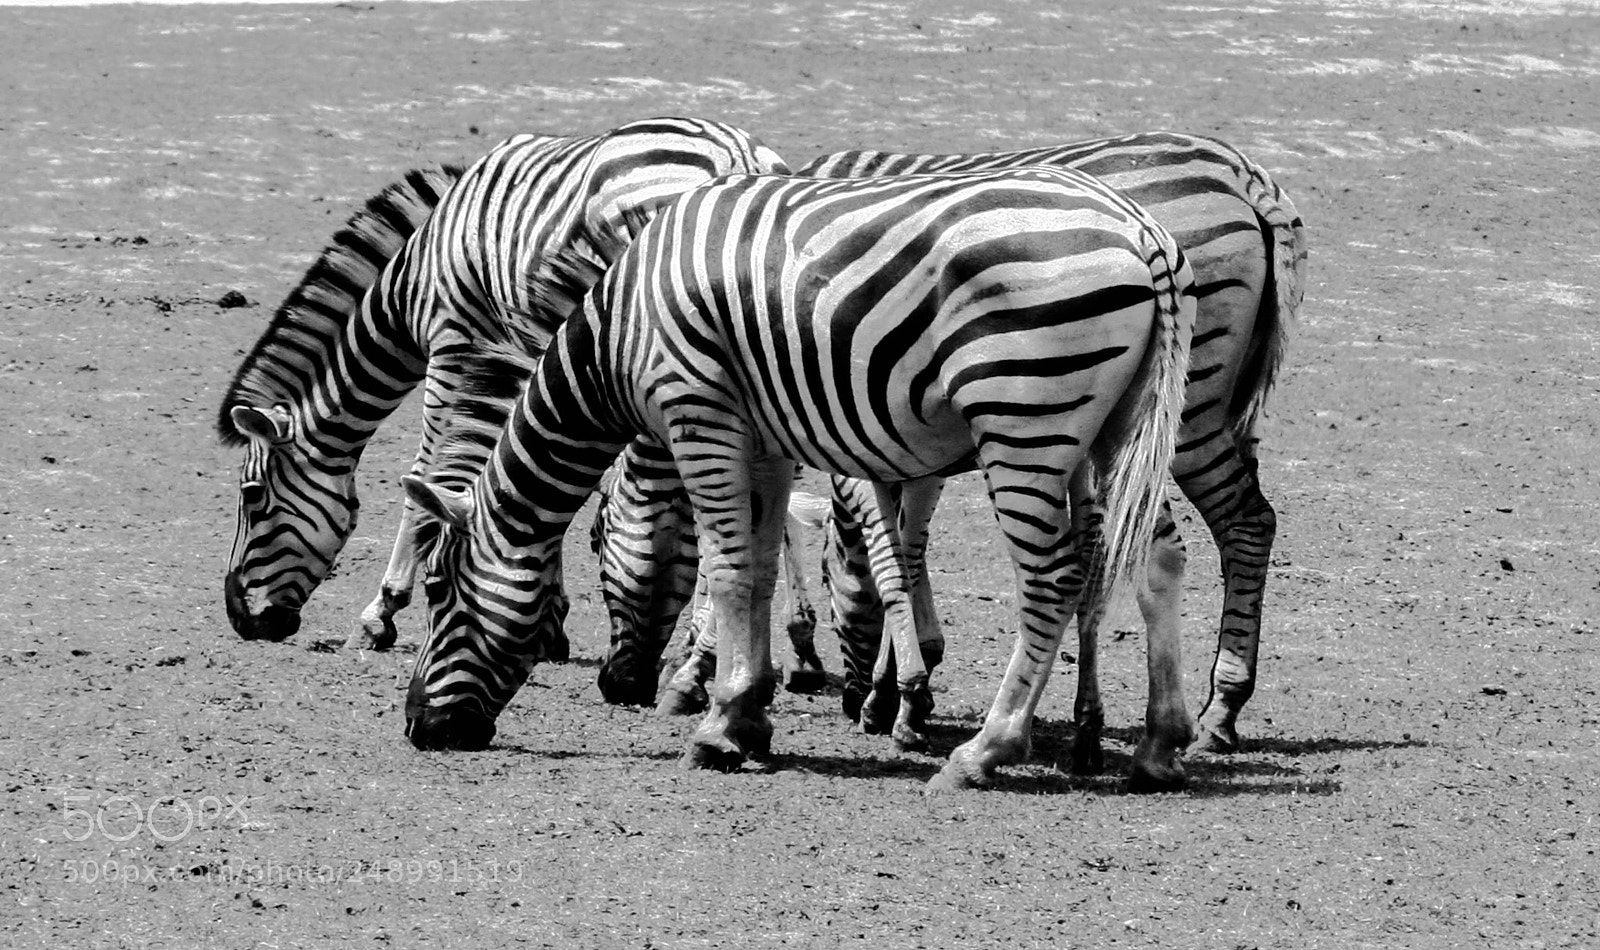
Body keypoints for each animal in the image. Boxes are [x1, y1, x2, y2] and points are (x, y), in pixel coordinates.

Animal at [216, 117, 787, 705]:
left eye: (252, 497)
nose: (241, 619)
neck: (412, 275)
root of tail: (737, 154)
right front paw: (550, 621)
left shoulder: (455, 345)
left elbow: (429, 478)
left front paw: (381, 612)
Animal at [401, 165, 1198, 792]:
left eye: (439, 590)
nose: (416, 728)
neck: (621, 331)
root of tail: (1139, 229)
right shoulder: (765, 442)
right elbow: (755, 568)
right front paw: (748, 717)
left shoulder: (700, 415)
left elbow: (725, 572)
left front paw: (717, 728)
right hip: (1122, 426)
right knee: (1160, 554)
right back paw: (1159, 747)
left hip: (1024, 418)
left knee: (1052, 579)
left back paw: (984, 752)